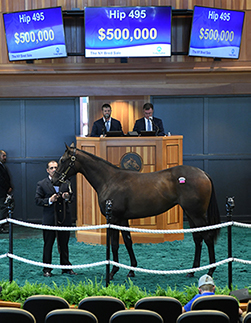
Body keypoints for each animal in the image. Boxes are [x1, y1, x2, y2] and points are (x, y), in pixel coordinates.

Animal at [52, 143, 221, 280]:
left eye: (62, 160)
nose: (54, 180)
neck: (109, 180)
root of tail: (203, 174)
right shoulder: (122, 219)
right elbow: (128, 241)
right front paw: (131, 270)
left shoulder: (114, 218)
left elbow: (115, 244)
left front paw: (113, 272)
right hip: (191, 214)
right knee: (198, 239)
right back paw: (192, 271)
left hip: (197, 214)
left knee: (207, 237)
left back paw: (210, 271)